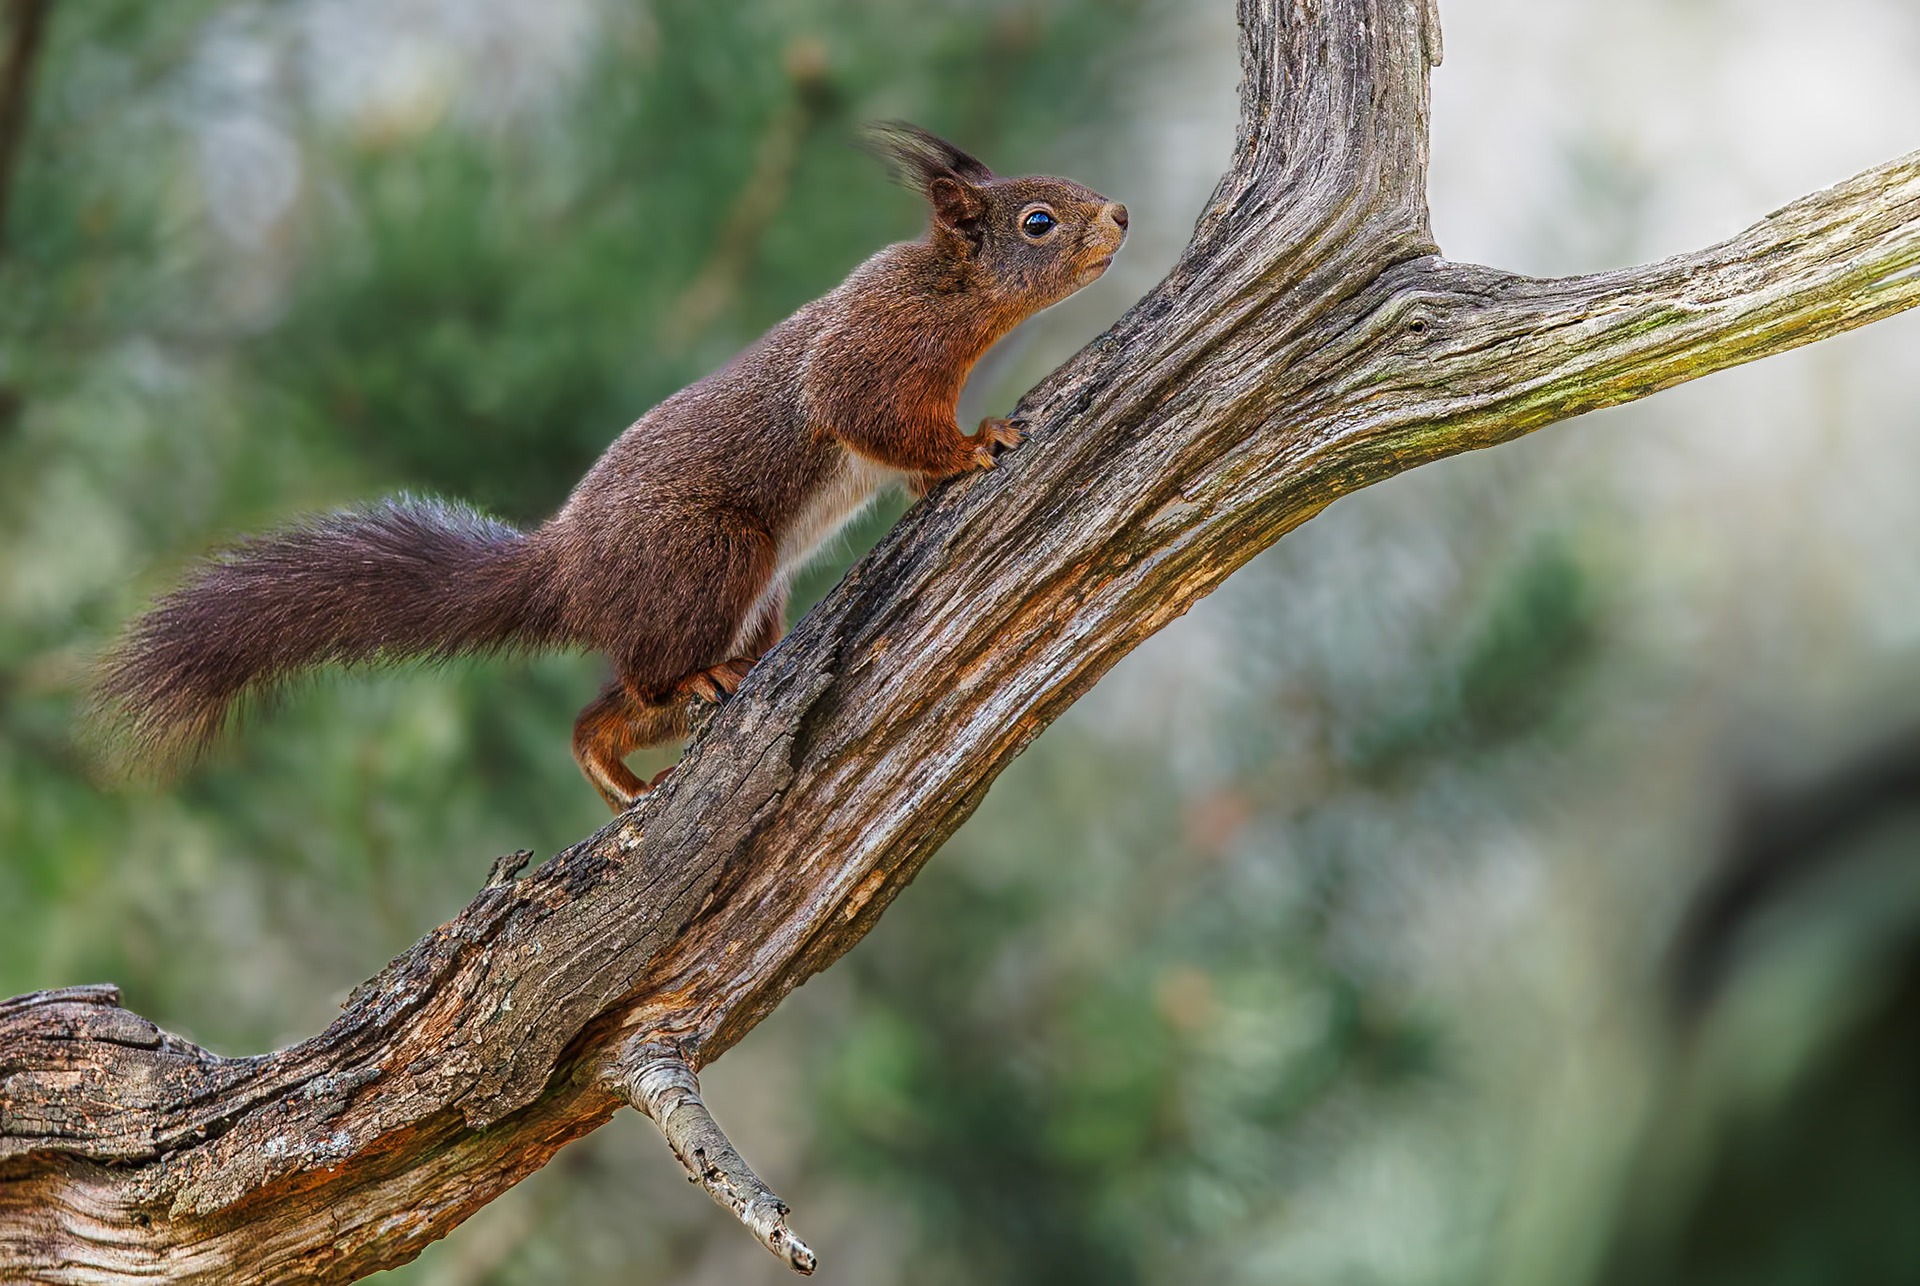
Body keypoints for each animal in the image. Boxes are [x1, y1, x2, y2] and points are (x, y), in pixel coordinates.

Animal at [93, 123, 1128, 811]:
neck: (949, 294)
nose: (1120, 212)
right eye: (1039, 221)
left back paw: (625, 767)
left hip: (741, 602)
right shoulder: (871, 352)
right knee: (644, 684)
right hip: (704, 559)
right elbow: (868, 415)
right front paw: (976, 444)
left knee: (604, 712)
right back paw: (681, 701)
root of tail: (568, 569)